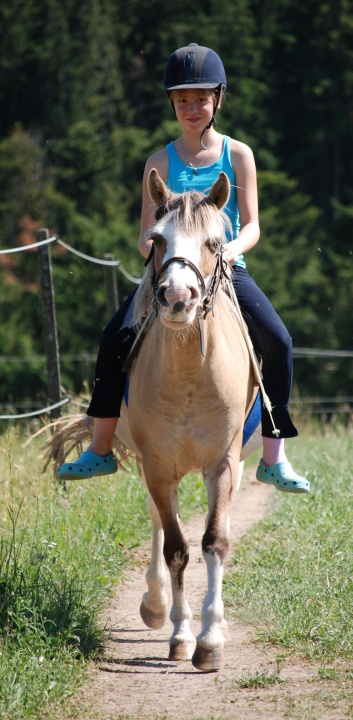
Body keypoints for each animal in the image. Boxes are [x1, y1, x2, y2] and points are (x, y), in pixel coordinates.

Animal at [113, 169, 258, 668]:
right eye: (157, 240)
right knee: (160, 523)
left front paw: (210, 639)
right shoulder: (157, 465)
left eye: (215, 243)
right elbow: (176, 547)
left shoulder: (223, 464)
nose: (177, 297)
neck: (190, 378)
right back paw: (156, 605)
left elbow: (214, 542)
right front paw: (180, 634)